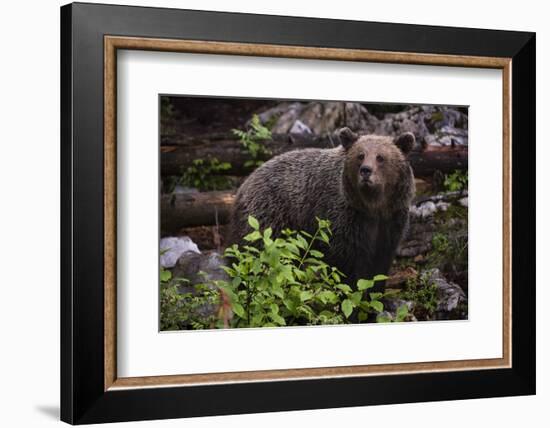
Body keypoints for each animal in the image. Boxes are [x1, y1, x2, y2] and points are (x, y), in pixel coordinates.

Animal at [231, 127, 416, 288]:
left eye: (380, 157)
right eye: (360, 155)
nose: (366, 170)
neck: (373, 207)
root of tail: (245, 183)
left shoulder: (391, 221)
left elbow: (379, 267)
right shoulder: (344, 220)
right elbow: (346, 266)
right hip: (268, 217)